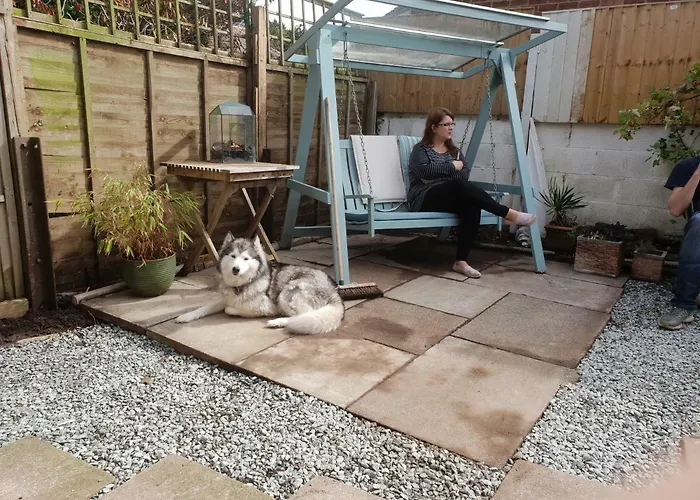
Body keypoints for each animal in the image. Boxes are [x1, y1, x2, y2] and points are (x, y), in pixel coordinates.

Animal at [174, 233, 345, 335]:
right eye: (233, 256)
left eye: (246, 259)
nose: (235, 269)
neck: (241, 285)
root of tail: (334, 290)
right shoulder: (223, 298)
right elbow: (203, 308)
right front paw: (185, 316)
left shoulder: (267, 306)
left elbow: (230, 309)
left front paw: (232, 309)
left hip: (287, 293)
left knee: (303, 316)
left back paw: (277, 322)